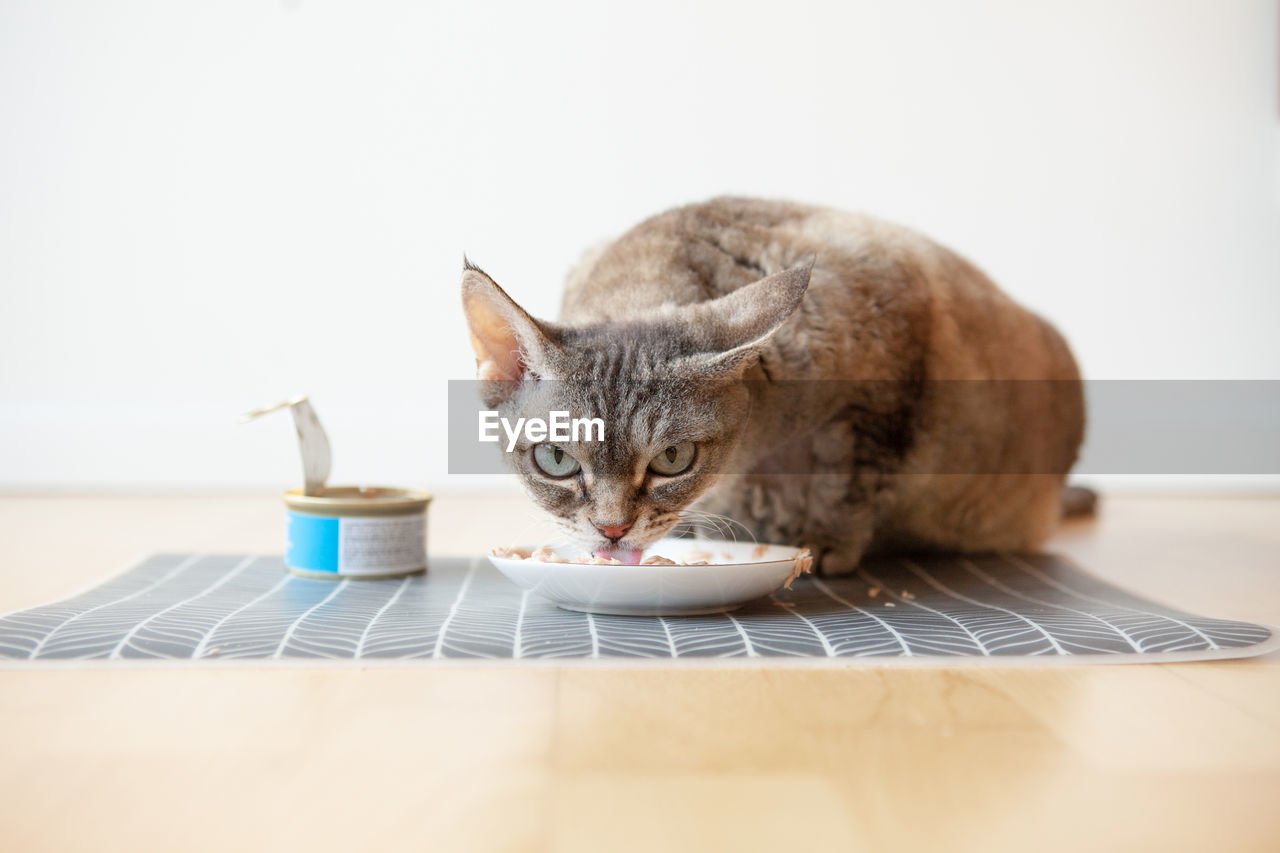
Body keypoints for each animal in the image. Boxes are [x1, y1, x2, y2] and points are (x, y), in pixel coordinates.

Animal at [455, 195, 1085, 573]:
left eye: (673, 459)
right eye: (556, 460)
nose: (613, 531)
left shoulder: (889, 377)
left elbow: (854, 482)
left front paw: (827, 543)